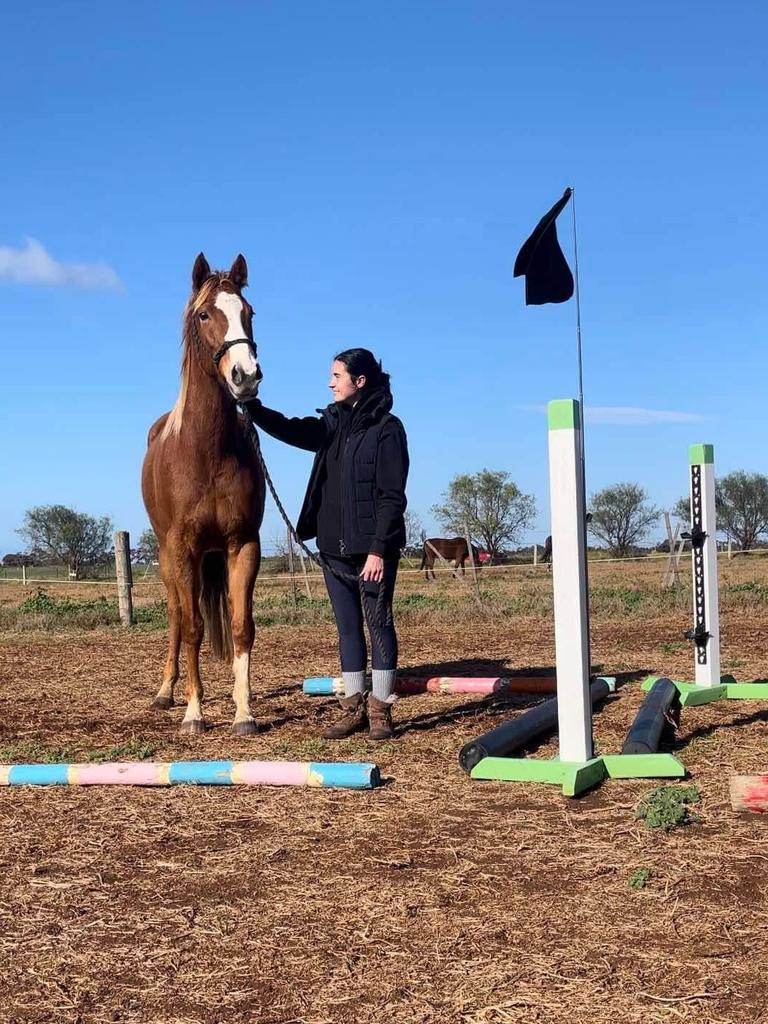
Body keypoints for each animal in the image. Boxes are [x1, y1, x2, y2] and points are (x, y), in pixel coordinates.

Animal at [141, 256, 264, 737]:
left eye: (249, 312)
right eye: (205, 315)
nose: (245, 376)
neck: (206, 450)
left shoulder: (242, 544)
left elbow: (242, 625)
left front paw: (244, 712)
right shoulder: (182, 549)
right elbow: (192, 628)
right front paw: (194, 713)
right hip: (168, 559)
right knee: (178, 616)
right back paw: (166, 691)